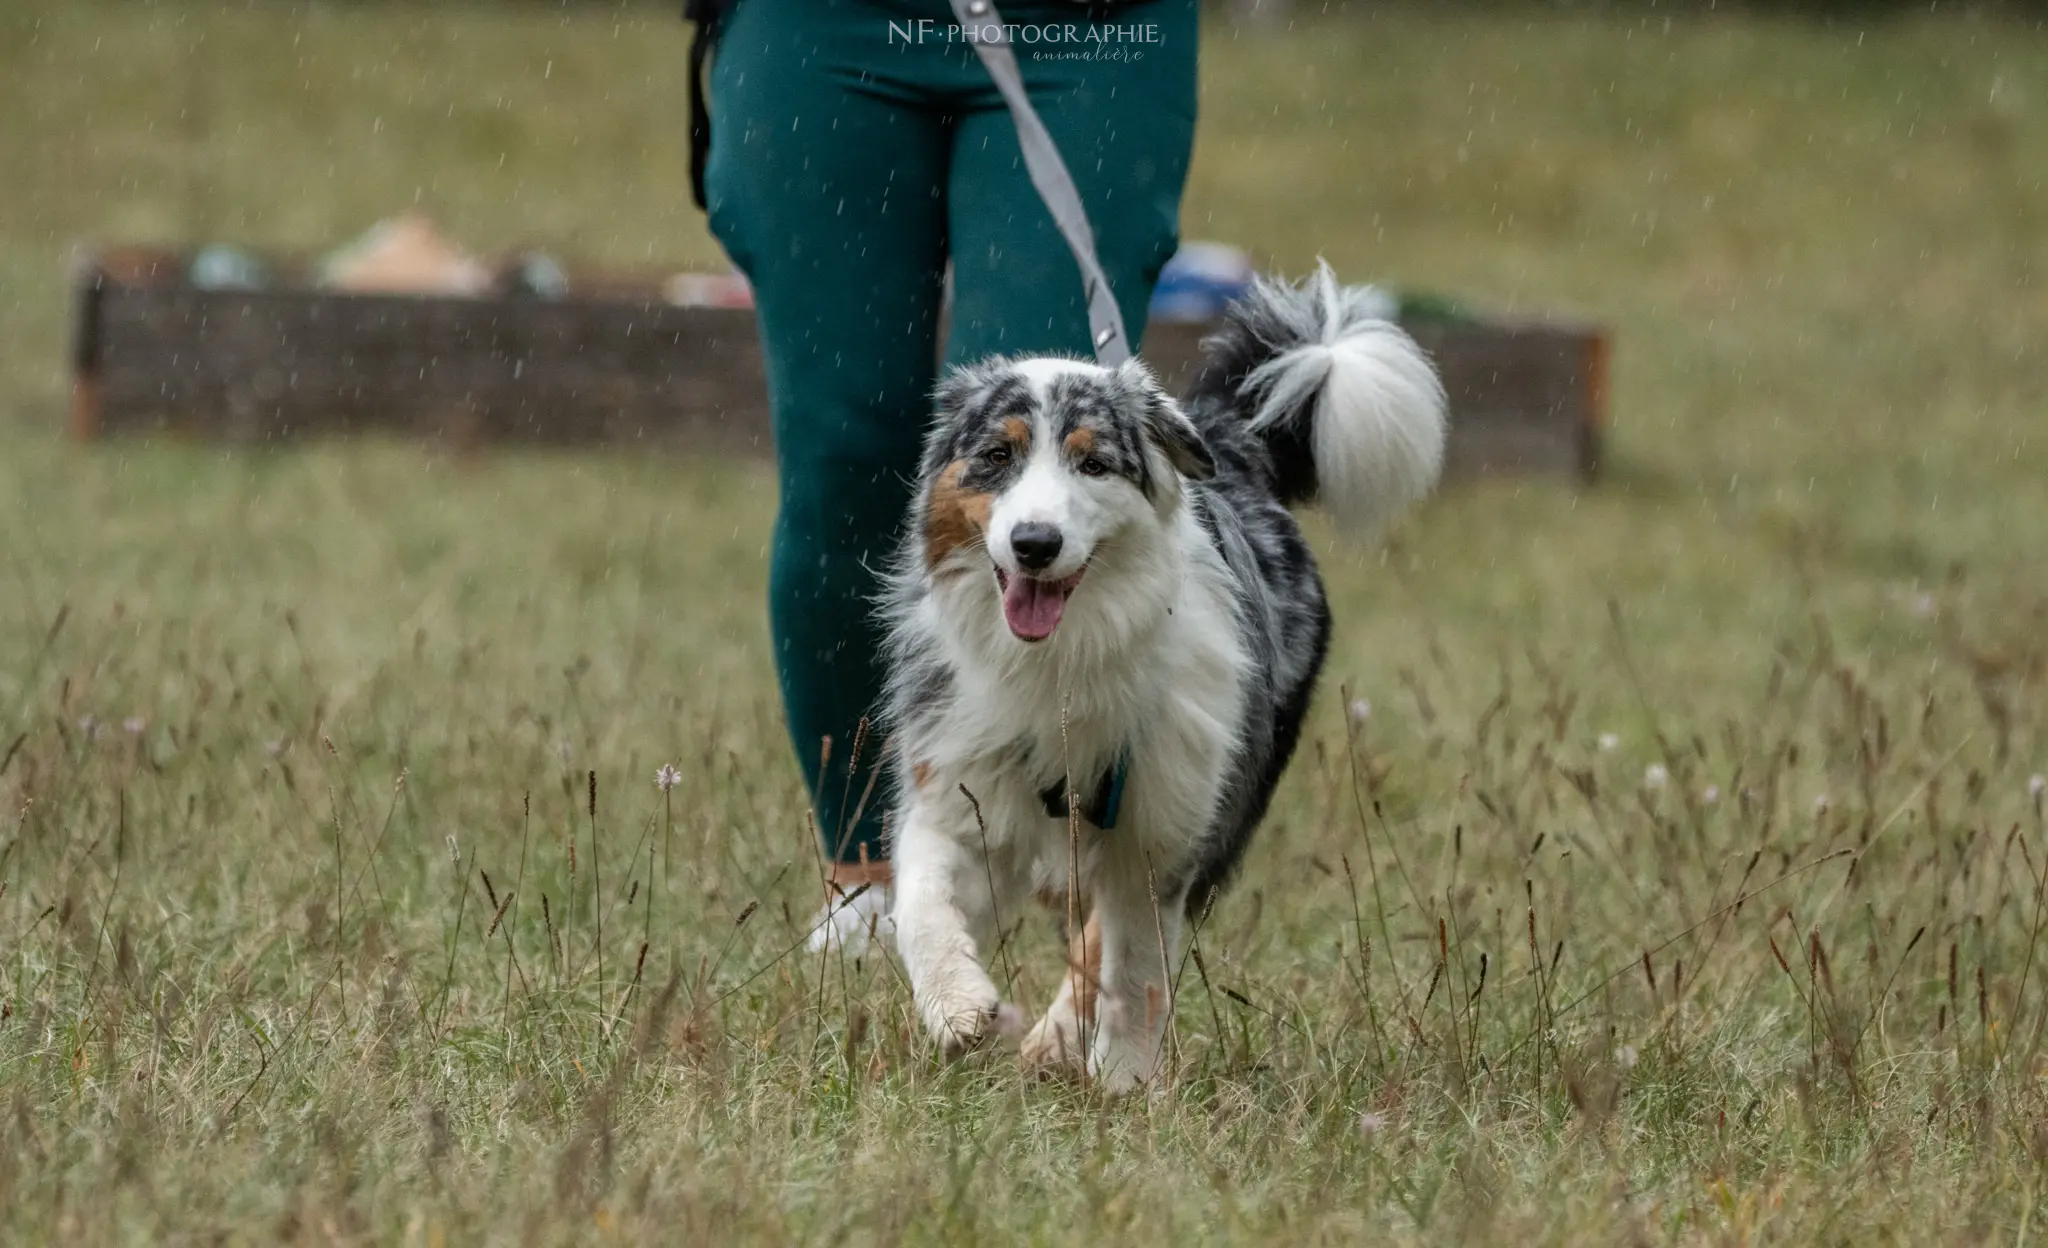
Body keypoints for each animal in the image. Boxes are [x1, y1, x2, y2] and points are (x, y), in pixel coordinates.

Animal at [876, 264, 1441, 1090]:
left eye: (1093, 462)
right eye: (996, 456)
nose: (1035, 543)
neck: (1065, 656)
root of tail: (1232, 446)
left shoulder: (1165, 824)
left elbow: (1133, 964)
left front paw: (1122, 1080)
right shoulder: (960, 783)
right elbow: (920, 901)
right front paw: (957, 1007)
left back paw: (1055, 1044)